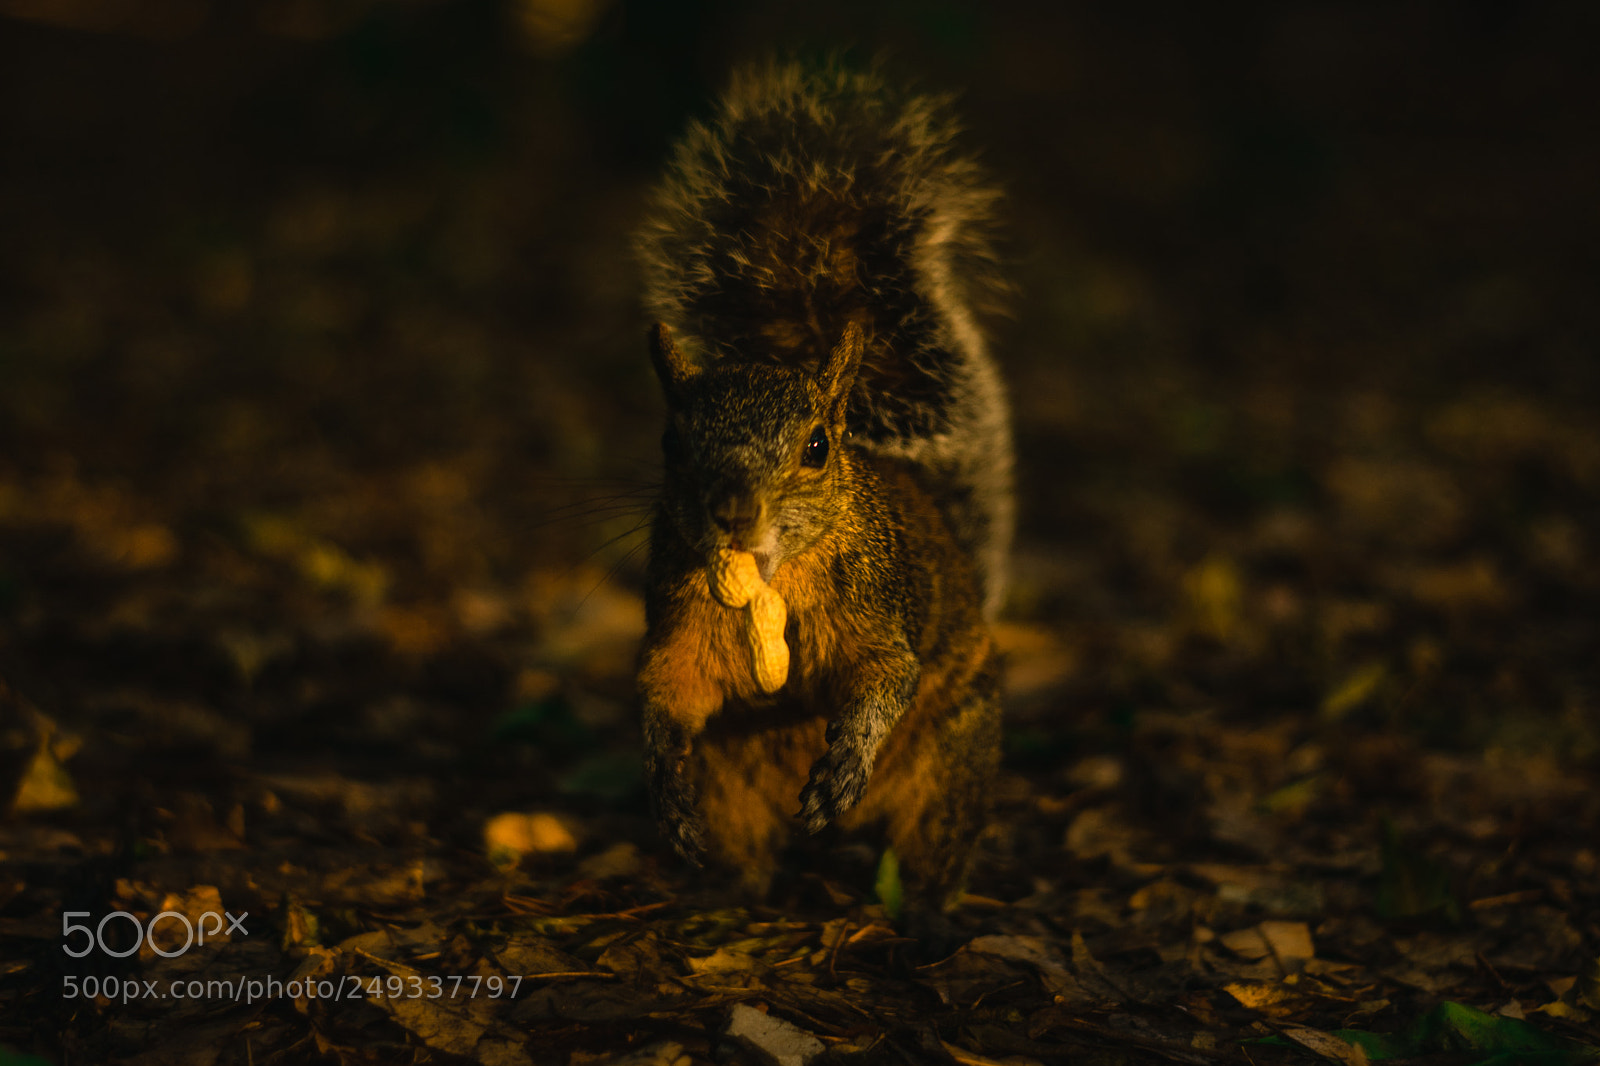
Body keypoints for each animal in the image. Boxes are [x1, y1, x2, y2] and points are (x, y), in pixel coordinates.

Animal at [633, 60, 1012, 907]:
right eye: (671, 442)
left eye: (816, 448)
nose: (732, 512)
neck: (770, 583)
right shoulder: (681, 618)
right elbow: (670, 688)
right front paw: (662, 781)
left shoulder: (878, 608)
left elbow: (886, 675)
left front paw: (847, 758)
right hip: (730, 785)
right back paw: (731, 893)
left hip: (954, 755)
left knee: (931, 849)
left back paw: (927, 911)